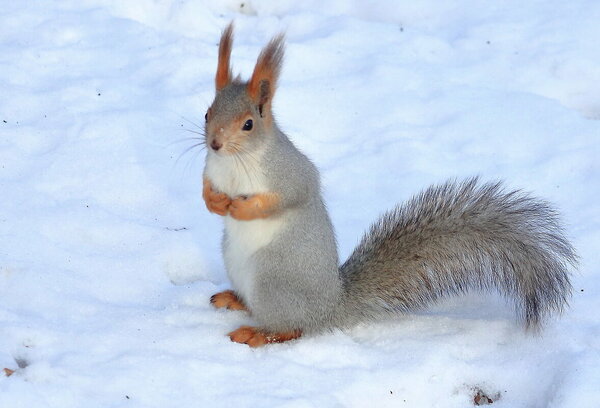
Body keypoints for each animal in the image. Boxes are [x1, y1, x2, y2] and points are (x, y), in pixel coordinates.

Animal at [200, 23, 576, 348]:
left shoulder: (289, 172)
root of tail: (330, 308)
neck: (234, 162)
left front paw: (241, 207)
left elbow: (292, 194)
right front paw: (214, 203)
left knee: (293, 328)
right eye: (207, 113)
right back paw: (233, 299)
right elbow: (205, 186)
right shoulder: (211, 168)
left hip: (272, 282)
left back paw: (257, 333)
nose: (214, 144)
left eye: (248, 124)